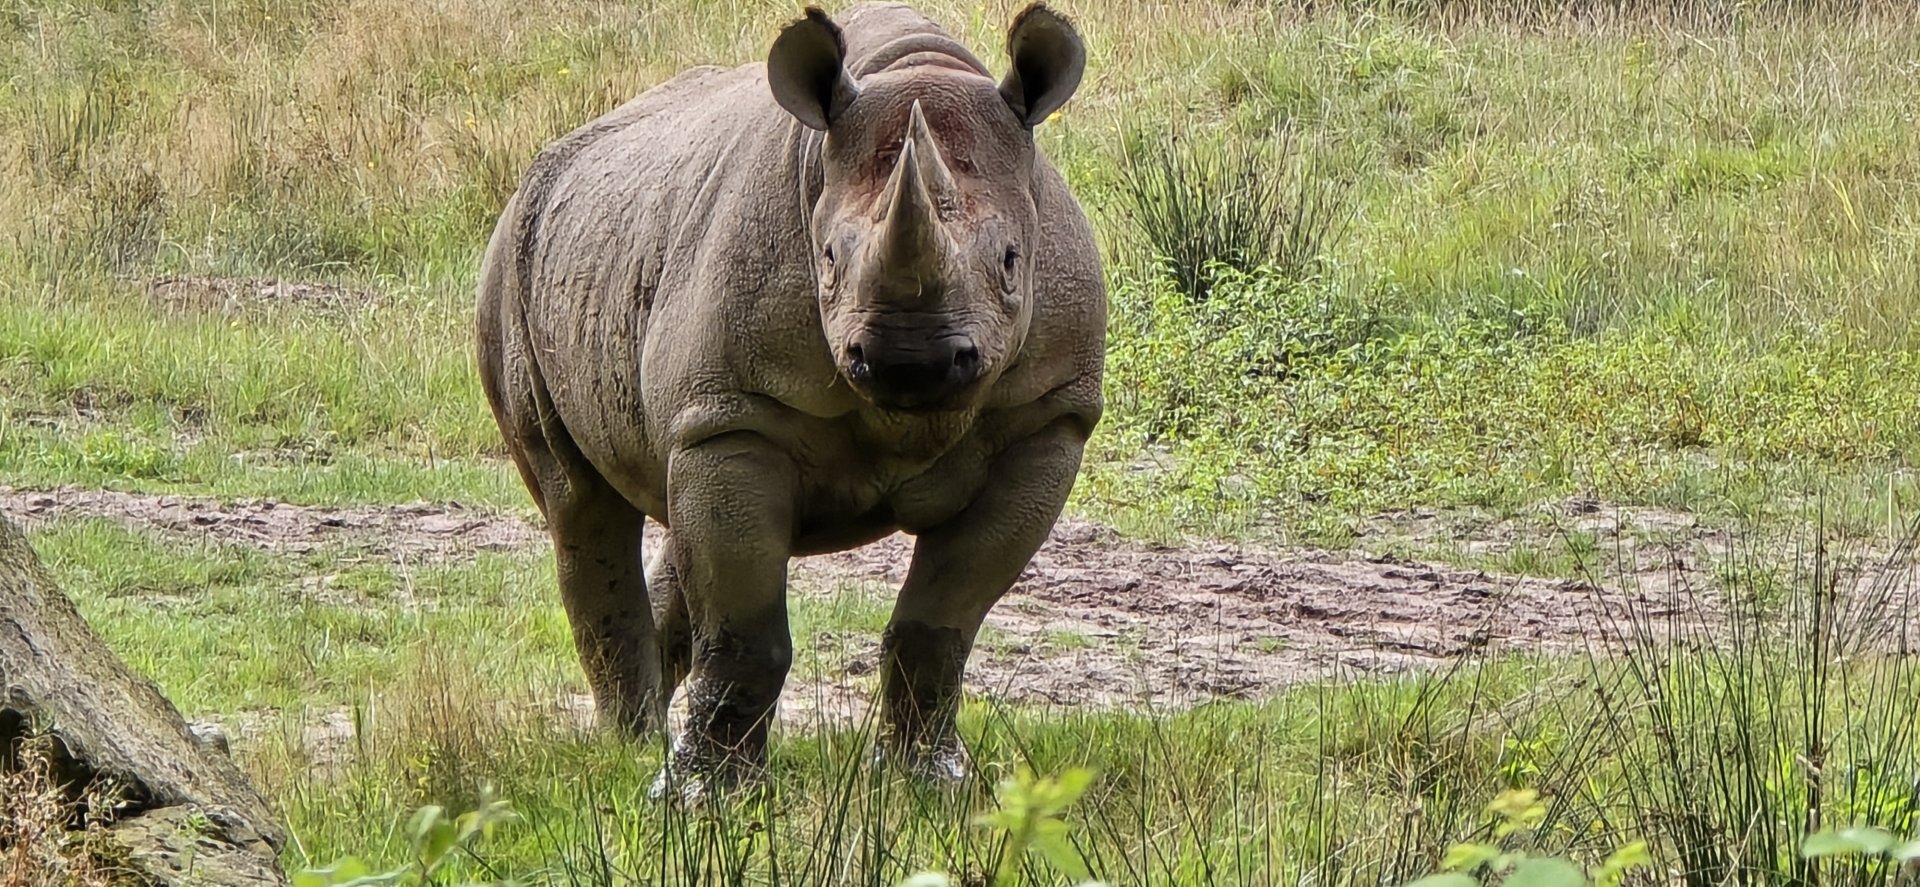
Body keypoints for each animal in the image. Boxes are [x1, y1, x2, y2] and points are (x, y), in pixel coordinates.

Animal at [474, 0, 1104, 793]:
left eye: (1014, 261)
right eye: (827, 260)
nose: (911, 363)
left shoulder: (1047, 417)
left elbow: (942, 621)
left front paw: (928, 783)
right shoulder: (735, 410)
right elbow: (745, 628)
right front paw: (703, 799)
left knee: (671, 503)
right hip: (512, 263)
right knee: (581, 503)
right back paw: (631, 747)